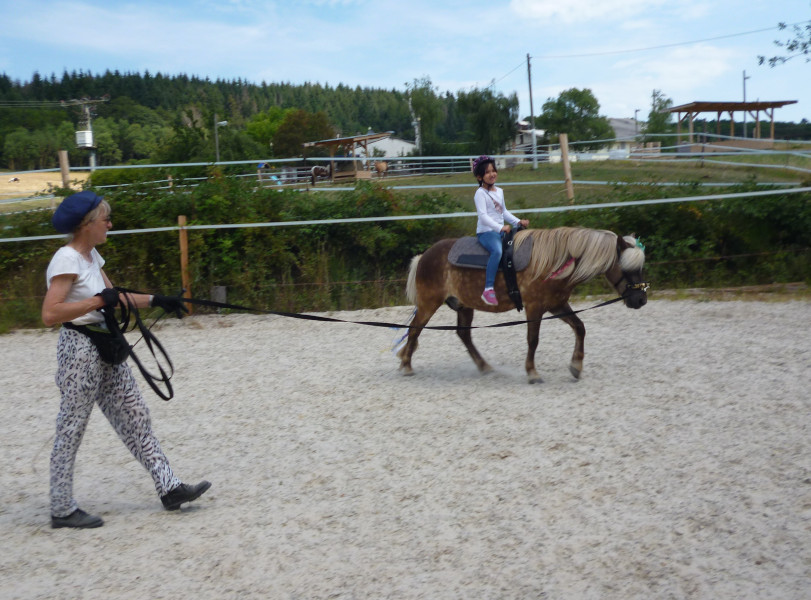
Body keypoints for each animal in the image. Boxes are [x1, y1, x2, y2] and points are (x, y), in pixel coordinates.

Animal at [396, 227, 652, 382]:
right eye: (627, 268)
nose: (641, 300)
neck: (552, 262)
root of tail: (425, 256)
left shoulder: (557, 304)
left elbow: (580, 328)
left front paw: (576, 366)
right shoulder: (535, 307)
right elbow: (533, 339)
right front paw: (532, 372)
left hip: (464, 305)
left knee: (463, 334)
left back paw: (484, 366)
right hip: (429, 303)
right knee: (415, 330)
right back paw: (407, 365)